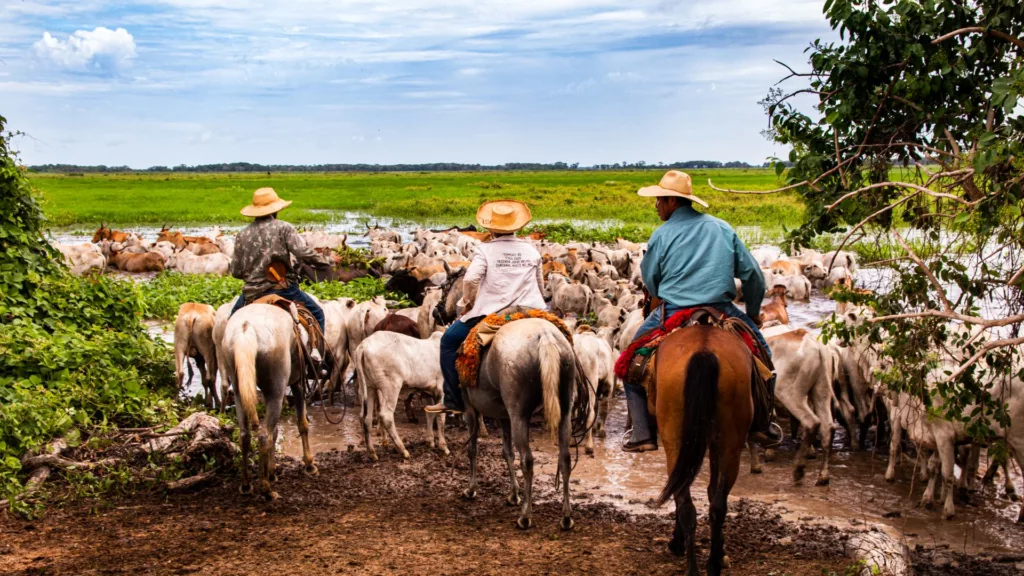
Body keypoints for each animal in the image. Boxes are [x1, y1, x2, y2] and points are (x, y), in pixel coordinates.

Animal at [462, 317, 589, 528]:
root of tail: (545, 336)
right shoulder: (504, 416)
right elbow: (507, 452)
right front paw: (513, 495)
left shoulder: (470, 408)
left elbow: (473, 449)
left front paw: (472, 489)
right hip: (563, 411)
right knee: (565, 459)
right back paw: (566, 517)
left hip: (519, 415)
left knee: (527, 460)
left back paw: (525, 516)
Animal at [655, 325, 753, 569]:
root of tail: (704, 350)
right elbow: (710, 490)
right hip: (729, 444)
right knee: (713, 504)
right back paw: (710, 563)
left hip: (678, 442)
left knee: (693, 503)